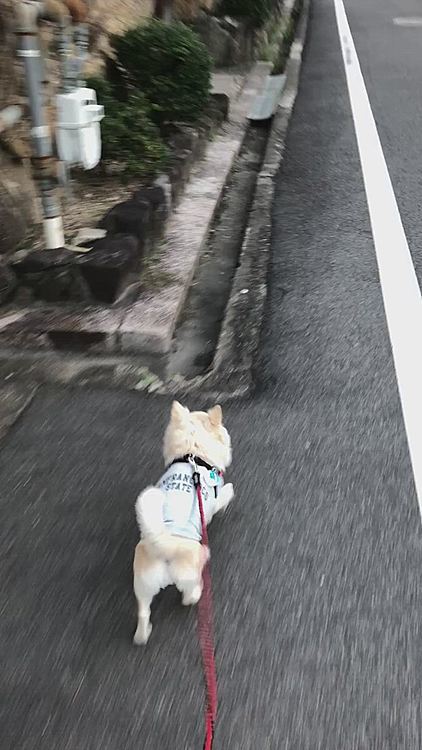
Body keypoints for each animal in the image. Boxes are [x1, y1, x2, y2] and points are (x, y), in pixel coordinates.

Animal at [133, 400, 234, 648]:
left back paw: (143, 634)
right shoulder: (213, 503)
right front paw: (229, 490)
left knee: (143, 612)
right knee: (190, 595)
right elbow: (225, 496)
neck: (194, 454)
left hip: (142, 584)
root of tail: (164, 547)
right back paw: (196, 593)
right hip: (193, 566)